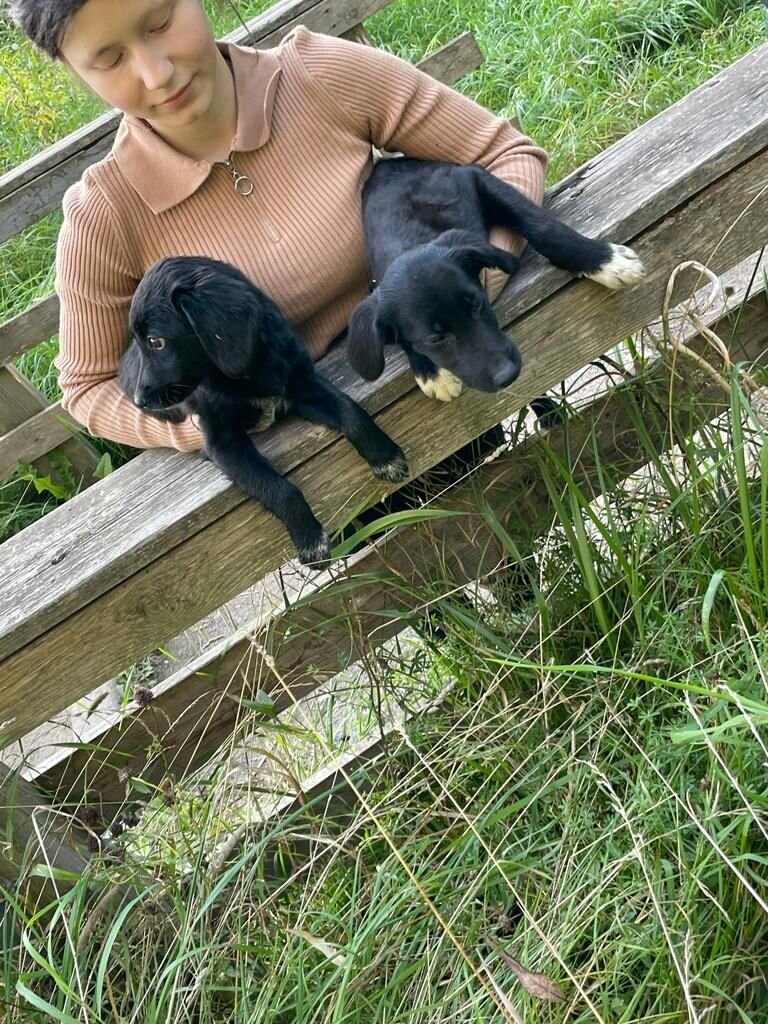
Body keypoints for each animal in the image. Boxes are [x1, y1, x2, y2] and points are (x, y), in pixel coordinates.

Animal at [120, 252, 409, 565]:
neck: (246, 372)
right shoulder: (221, 441)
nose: (139, 401)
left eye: (156, 342)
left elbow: (351, 412)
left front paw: (385, 457)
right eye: (144, 342)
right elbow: (278, 488)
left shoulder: (302, 384)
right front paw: (310, 539)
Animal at [346, 157, 647, 401]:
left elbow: (541, 225)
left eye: (477, 304)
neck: (409, 238)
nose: (508, 374)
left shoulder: (473, 177)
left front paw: (604, 260)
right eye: (434, 338)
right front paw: (430, 371)